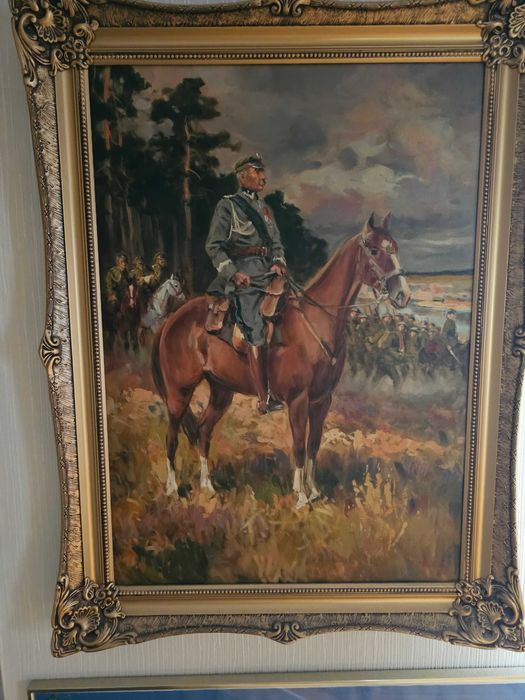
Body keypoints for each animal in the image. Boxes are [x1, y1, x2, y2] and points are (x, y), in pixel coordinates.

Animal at [151, 213, 411, 507]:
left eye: (395, 248)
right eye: (376, 250)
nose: (403, 295)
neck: (316, 321)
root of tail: (172, 319)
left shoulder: (322, 400)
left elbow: (313, 445)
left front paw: (314, 490)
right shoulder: (298, 400)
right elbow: (298, 444)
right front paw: (301, 497)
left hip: (221, 392)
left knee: (203, 432)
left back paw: (208, 486)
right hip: (179, 393)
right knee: (171, 437)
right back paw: (172, 489)